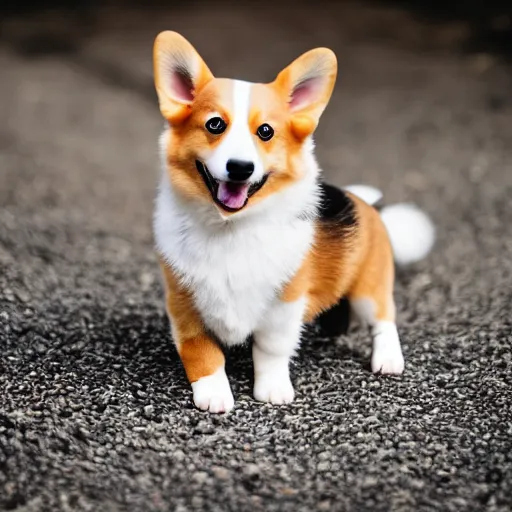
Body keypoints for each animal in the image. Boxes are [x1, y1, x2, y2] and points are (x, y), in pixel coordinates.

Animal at [150, 31, 434, 412]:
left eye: (266, 132)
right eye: (215, 124)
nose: (240, 168)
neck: (230, 228)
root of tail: (367, 204)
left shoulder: (284, 303)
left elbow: (270, 350)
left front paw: (271, 389)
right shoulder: (184, 305)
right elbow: (201, 352)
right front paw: (213, 393)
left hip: (370, 286)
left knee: (384, 319)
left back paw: (387, 359)